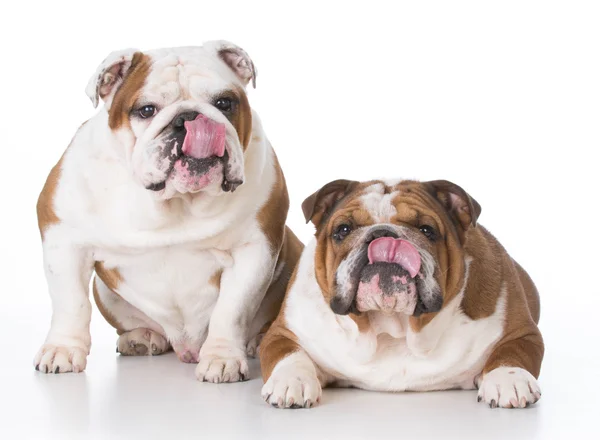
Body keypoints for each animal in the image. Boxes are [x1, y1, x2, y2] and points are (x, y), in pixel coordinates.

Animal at [35, 40, 302, 382]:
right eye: (147, 110)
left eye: (225, 102)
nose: (189, 117)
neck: (176, 201)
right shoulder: (63, 238)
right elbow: (71, 303)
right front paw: (63, 349)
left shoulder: (254, 249)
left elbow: (232, 309)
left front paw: (223, 357)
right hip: (105, 291)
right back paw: (141, 338)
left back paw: (257, 340)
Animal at [262, 179, 544, 410]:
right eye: (342, 230)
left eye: (427, 230)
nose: (383, 234)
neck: (393, 328)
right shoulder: (283, 331)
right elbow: (288, 353)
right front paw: (291, 381)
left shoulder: (521, 331)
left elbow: (512, 351)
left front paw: (509, 379)